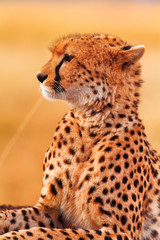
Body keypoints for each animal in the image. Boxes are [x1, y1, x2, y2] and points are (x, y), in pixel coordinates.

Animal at [0, 33, 160, 240]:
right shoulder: (49, 210)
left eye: (68, 58)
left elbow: (48, 233)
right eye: (53, 54)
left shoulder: (120, 231)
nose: (39, 76)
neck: (89, 123)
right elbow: (12, 216)